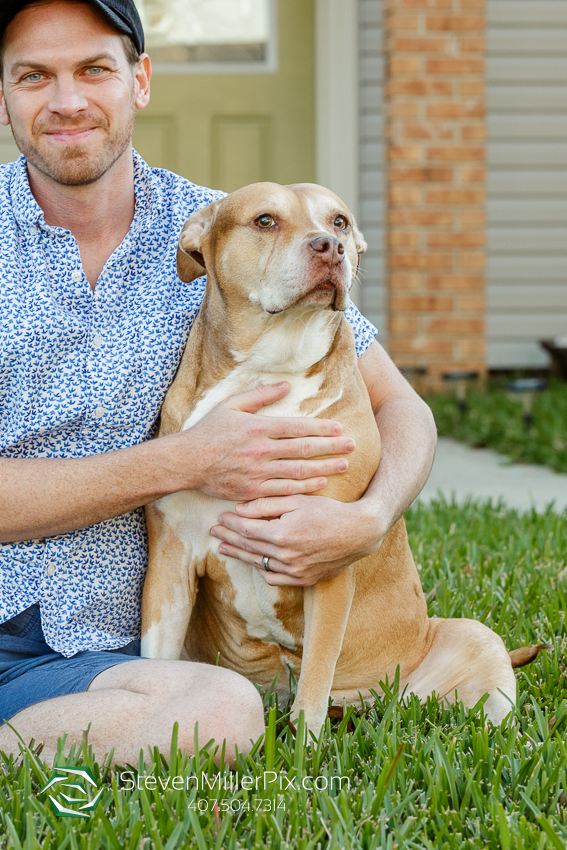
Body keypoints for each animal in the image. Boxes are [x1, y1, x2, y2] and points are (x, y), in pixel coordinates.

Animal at [141, 182, 528, 732]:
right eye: (265, 220)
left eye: (339, 221)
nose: (330, 246)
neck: (269, 368)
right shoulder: (172, 564)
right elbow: (155, 660)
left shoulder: (322, 559)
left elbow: (314, 683)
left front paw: (305, 748)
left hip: (471, 645)